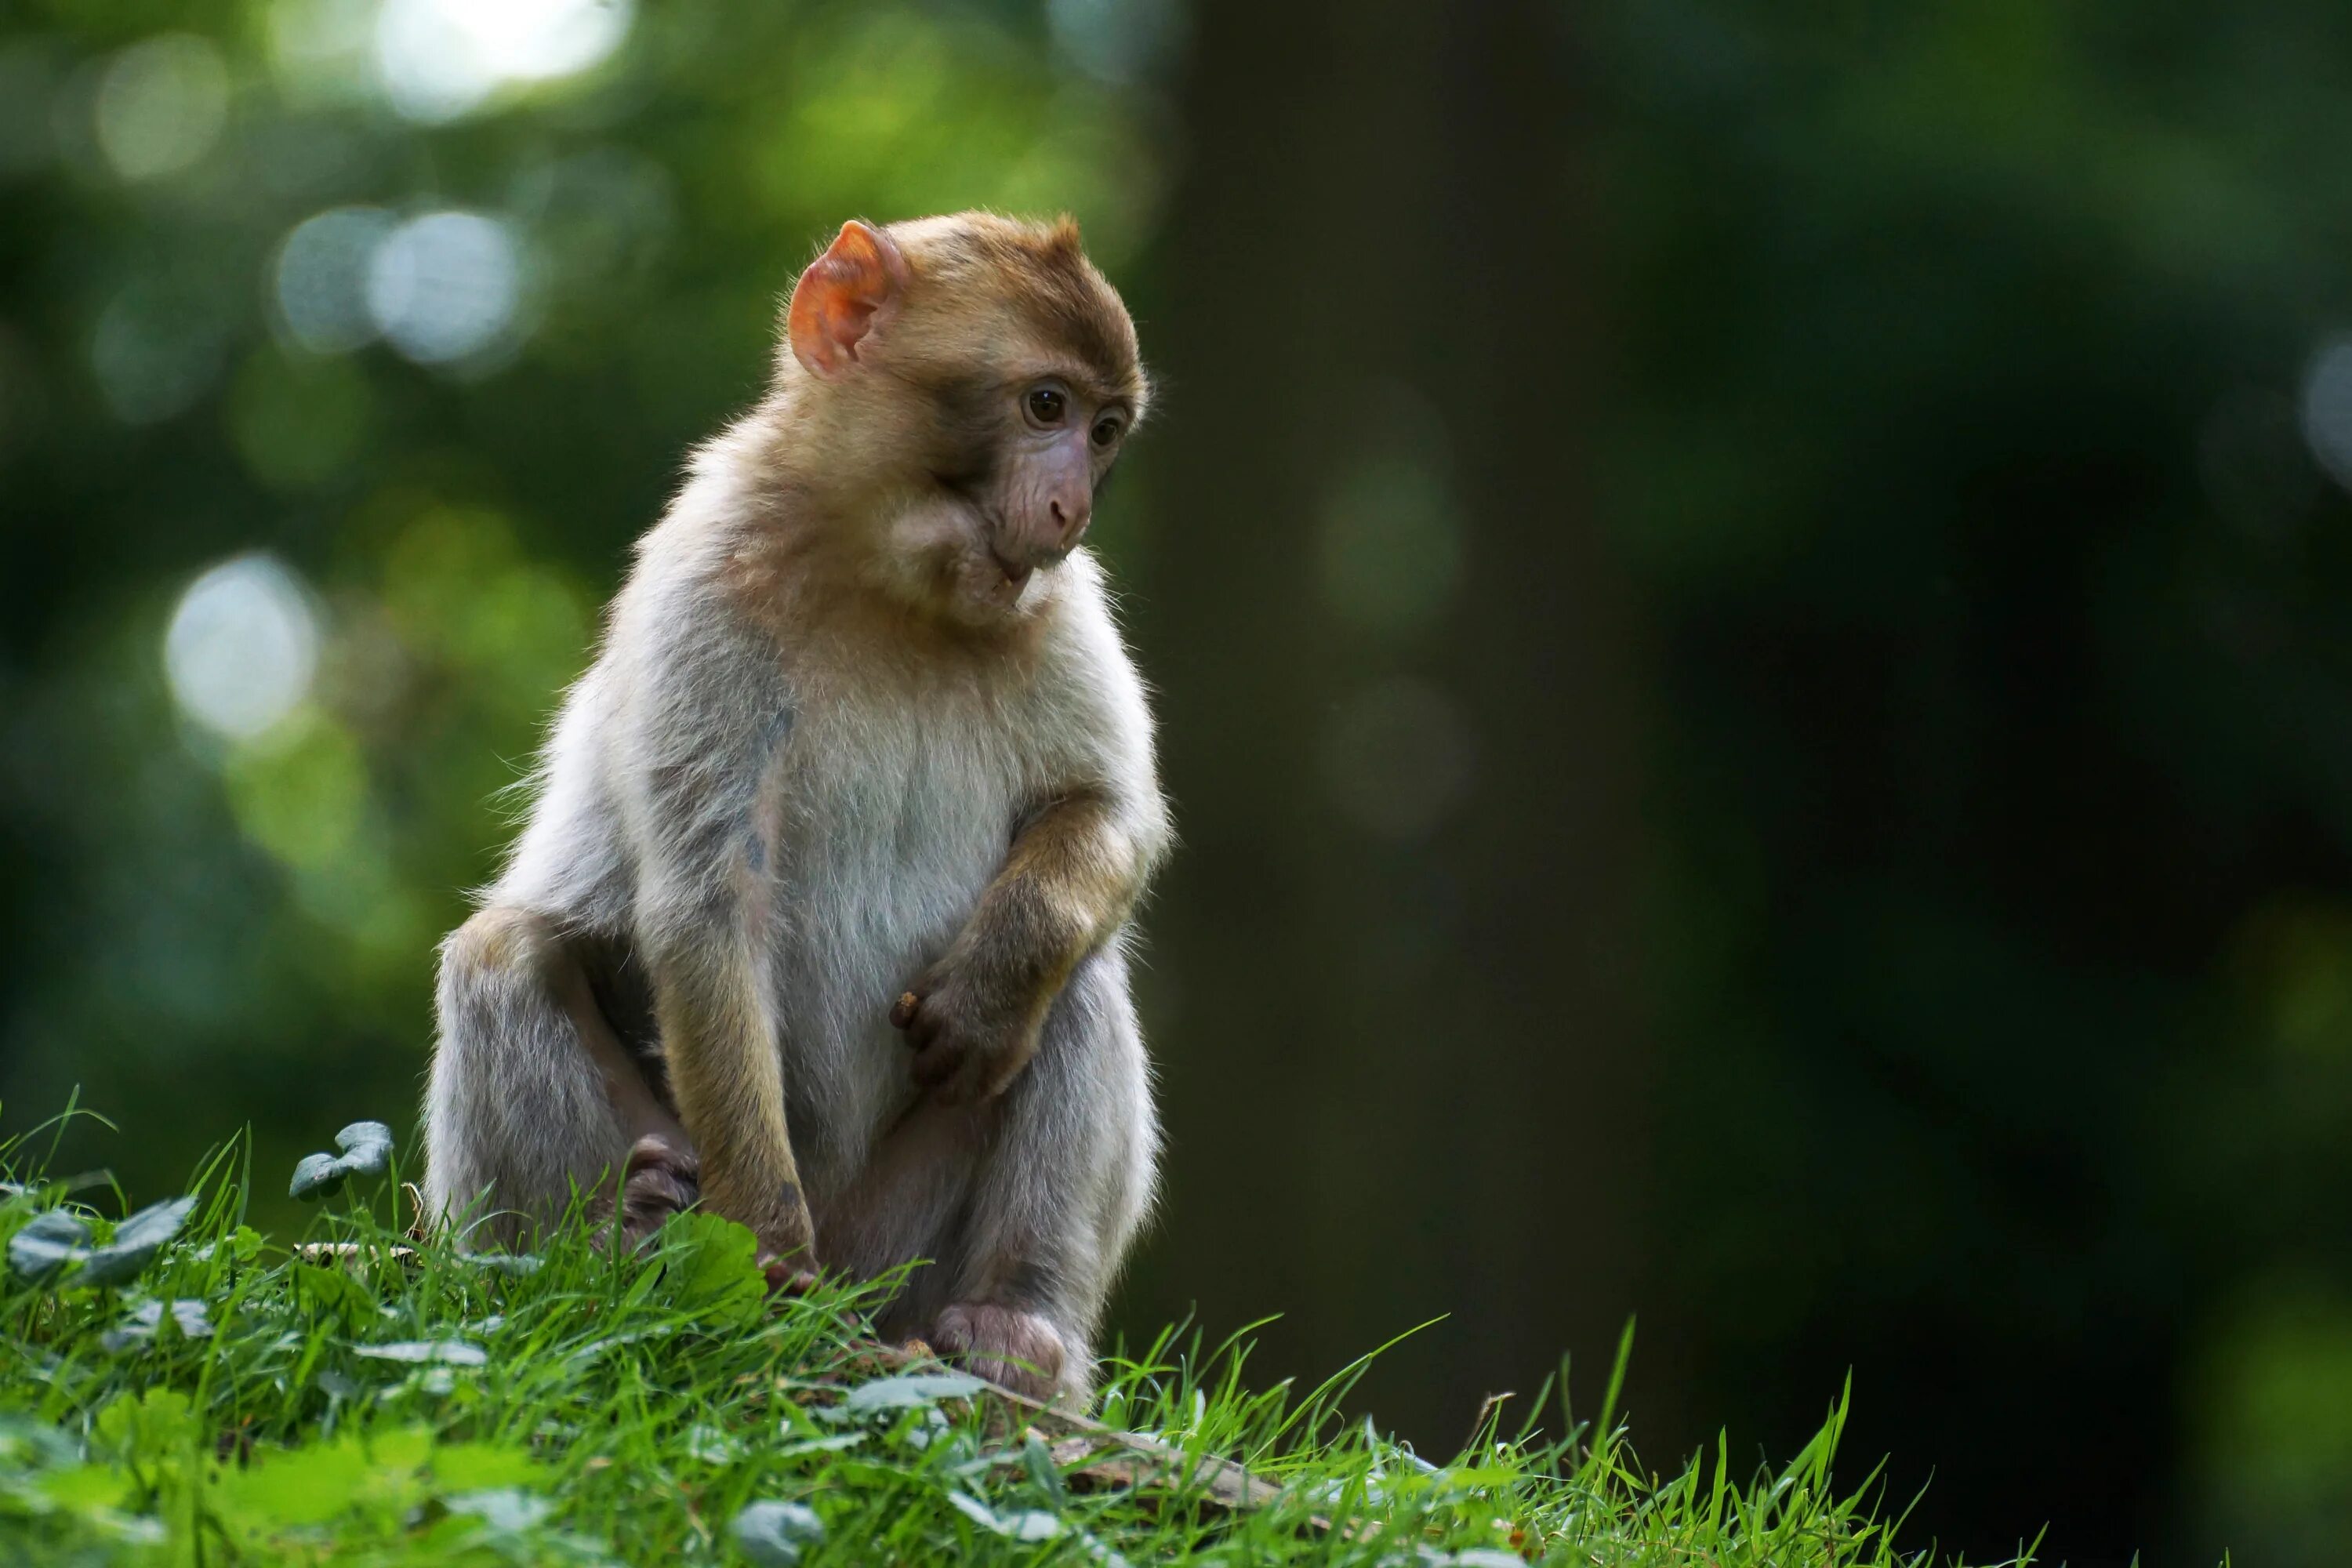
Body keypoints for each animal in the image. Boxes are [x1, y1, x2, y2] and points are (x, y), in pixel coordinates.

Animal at [419, 215, 1171, 1401]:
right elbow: (707, 898)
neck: (888, 580)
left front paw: (992, 983)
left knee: (1077, 985)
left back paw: (1016, 1328)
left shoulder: (1063, 602)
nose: (1071, 507)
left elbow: (1107, 810)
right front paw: (760, 1249)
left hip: (903, 1246)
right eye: (1044, 406)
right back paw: (625, 1241)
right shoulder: (704, 587)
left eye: (1104, 430)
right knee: (503, 956)